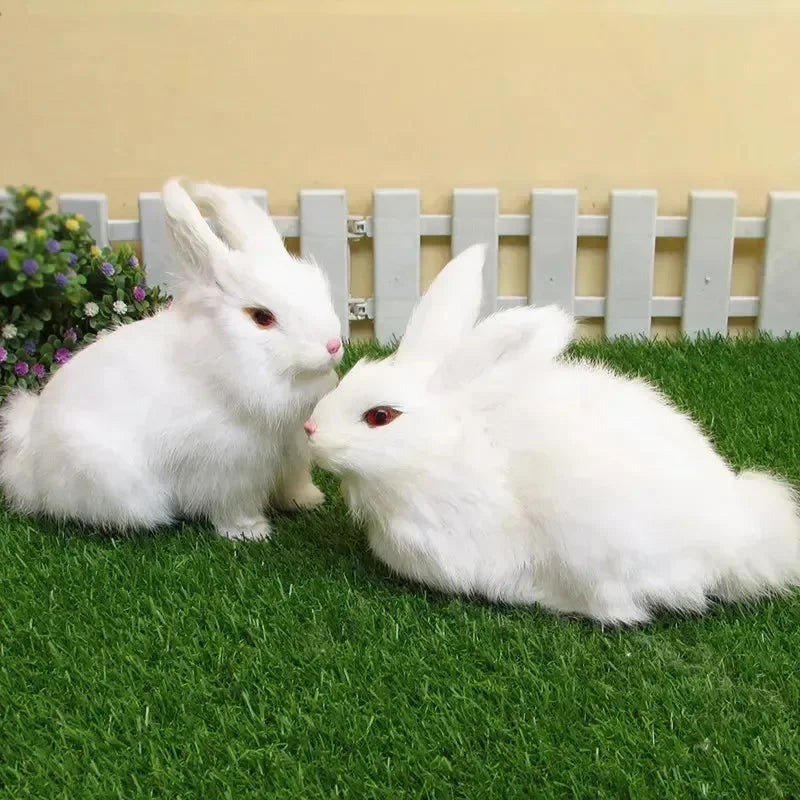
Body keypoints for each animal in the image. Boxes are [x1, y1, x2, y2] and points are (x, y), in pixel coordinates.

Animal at [0, 178, 344, 540]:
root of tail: (27, 450)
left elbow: (292, 484)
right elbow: (234, 508)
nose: (333, 345)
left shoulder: (291, 455)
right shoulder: (230, 473)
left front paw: (307, 500)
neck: (221, 370)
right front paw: (251, 532)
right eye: (262, 317)